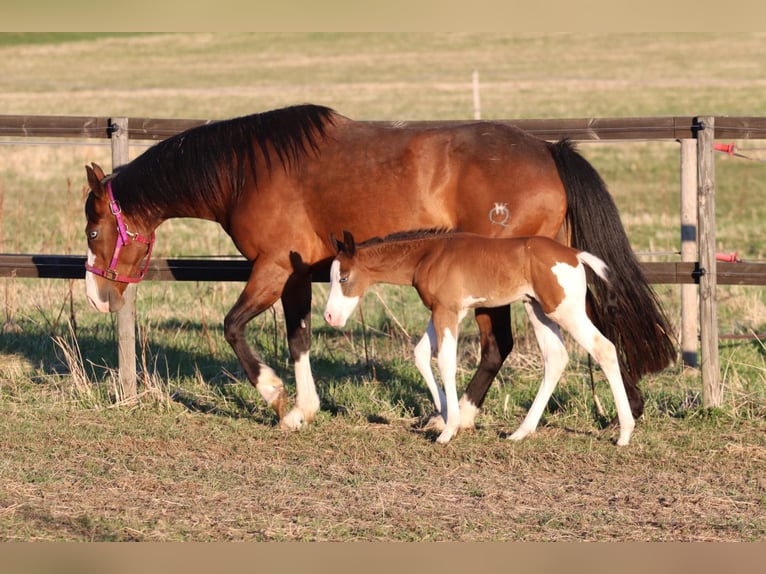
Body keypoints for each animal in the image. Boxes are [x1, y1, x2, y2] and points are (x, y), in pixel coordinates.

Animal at [323, 229, 635, 446]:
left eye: (343, 278)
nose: (329, 316)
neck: (430, 254)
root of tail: (574, 255)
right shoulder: (444, 311)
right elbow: (421, 355)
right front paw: (446, 416)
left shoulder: (447, 311)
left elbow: (445, 361)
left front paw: (448, 429)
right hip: (537, 310)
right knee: (556, 357)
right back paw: (521, 432)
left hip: (564, 311)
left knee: (604, 349)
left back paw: (624, 433)